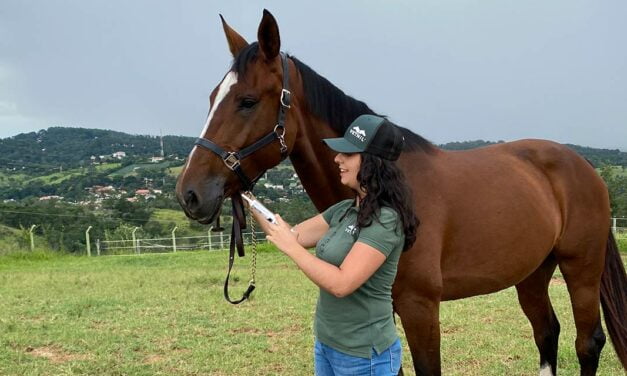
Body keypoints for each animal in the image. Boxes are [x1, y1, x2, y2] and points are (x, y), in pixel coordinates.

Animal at [177, 9, 627, 376]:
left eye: (247, 101)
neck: (389, 186)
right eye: (213, 97)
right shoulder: (386, 307)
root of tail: (583, 168)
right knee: (546, 334)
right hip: (532, 273)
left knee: (588, 343)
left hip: (581, 269)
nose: (189, 193)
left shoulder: (419, 306)